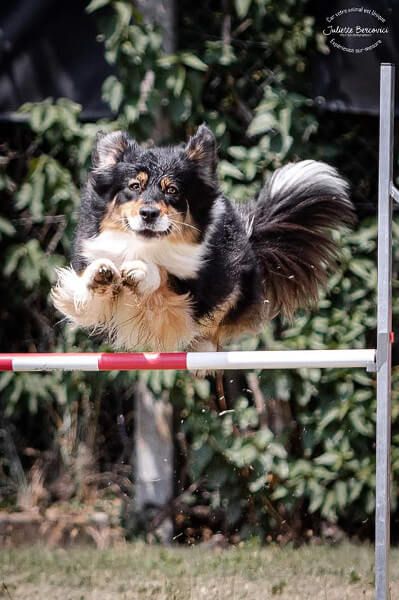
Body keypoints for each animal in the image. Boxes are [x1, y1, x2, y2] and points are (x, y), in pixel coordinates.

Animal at [51, 125, 354, 352]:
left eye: (172, 190)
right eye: (134, 186)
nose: (148, 214)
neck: (145, 245)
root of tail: (248, 231)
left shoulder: (187, 301)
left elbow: (164, 278)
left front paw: (141, 271)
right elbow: (86, 297)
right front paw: (100, 275)